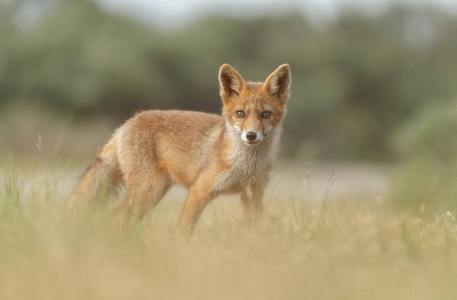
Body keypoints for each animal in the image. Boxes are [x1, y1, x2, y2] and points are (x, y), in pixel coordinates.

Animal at [70, 63, 292, 230]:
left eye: (266, 114)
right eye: (240, 114)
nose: (251, 135)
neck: (246, 166)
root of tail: (128, 122)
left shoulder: (253, 194)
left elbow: (254, 229)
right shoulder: (199, 190)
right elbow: (183, 230)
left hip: (153, 194)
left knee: (114, 217)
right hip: (148, 192)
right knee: (122, 222)